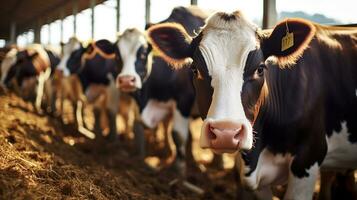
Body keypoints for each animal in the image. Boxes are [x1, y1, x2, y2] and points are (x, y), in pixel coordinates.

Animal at [116, 5, 214, 173]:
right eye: (117, 54)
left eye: (143, 53)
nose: (126, 80)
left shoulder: (184, 99)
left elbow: (178, 134)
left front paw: (179, 170)